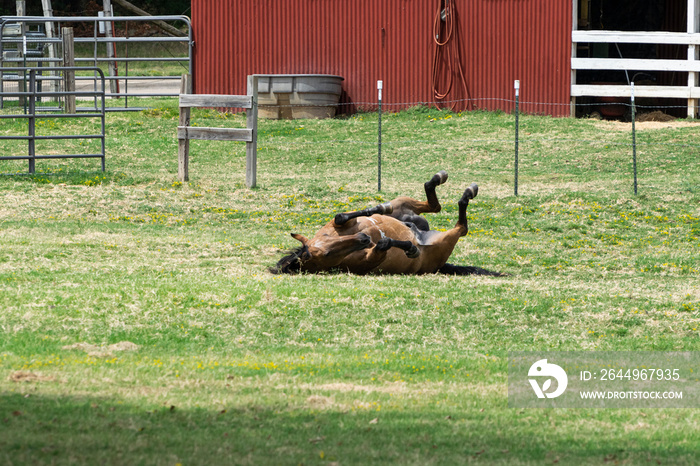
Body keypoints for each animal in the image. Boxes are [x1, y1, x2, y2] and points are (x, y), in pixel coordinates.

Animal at [270, 173, 506, 276]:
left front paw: (378, 209)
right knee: (461, 226)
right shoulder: (372, 257)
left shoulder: (344, 224)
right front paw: (409, 248)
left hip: (403, 204)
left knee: (433, 204)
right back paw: (466, 194)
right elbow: (385, 244)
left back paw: (439, 180)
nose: (364, 239)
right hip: (446, 241)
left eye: (327, 239)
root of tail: (425, 231)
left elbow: (341, 216)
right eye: (327, 255)